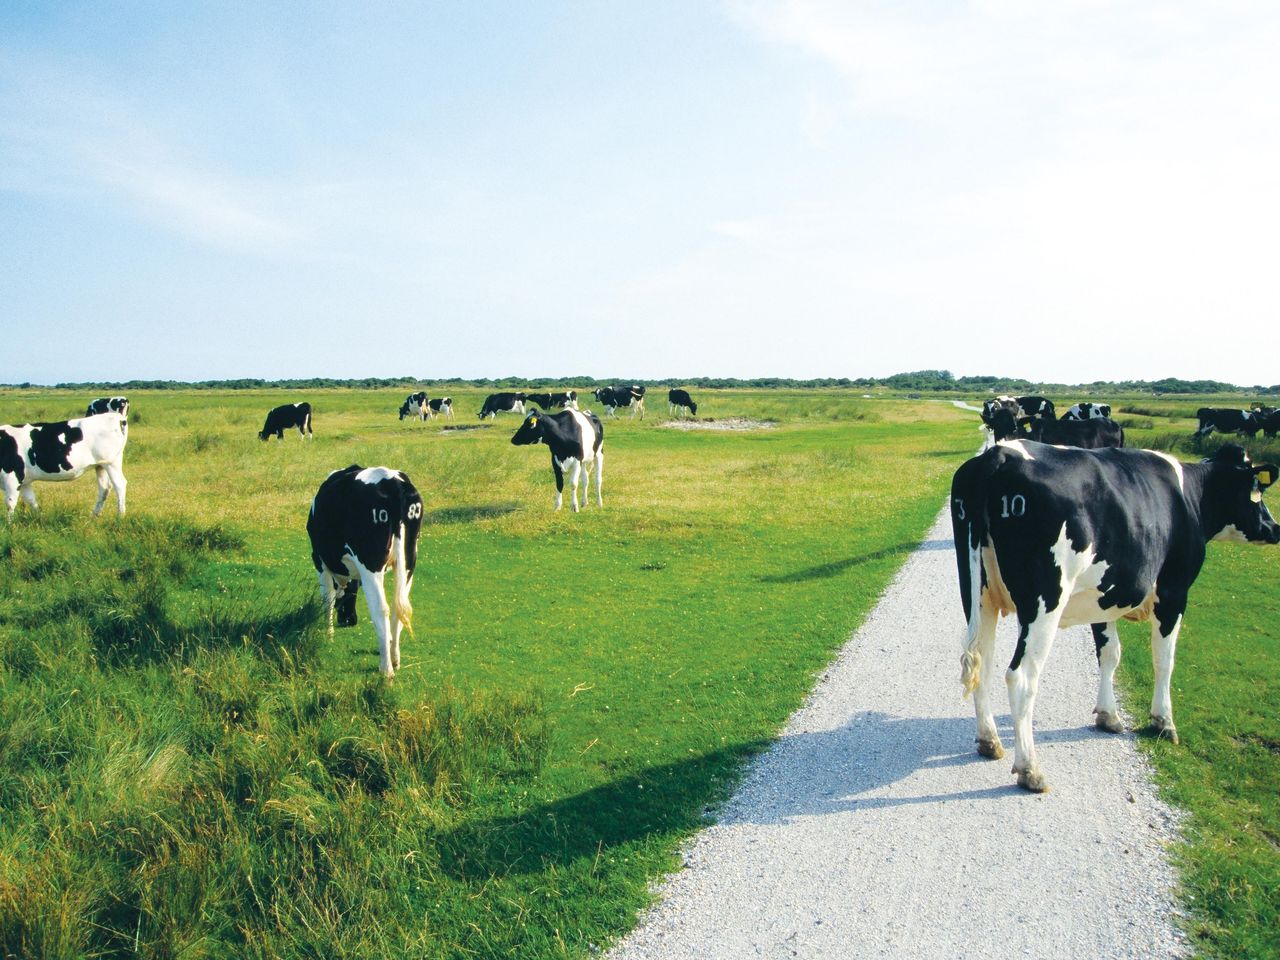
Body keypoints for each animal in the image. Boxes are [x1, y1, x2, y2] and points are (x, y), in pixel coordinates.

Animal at [305, 463, 422, 675]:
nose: (349, 619)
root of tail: (391, 481)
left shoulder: (319, 560)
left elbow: (328, 598)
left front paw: (328, 634)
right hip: (409, 559)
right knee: (397, 606)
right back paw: (394, 657)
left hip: (370, 562)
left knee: (381, 609)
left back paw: (386, 669)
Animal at [957, 440, 1274, 793]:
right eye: (1258, 490)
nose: (1274, 528)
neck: (1192, 495)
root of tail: (1001, 453)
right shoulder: (1174, 591)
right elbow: (1164, 659)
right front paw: (1163, 721)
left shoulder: (1103, 596)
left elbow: (1109, 654)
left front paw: (1108, 716)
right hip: (1044, 601)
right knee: (1021, 676)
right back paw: (1030, 770)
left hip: (977, 594)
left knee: (982, 663)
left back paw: (989, 742)